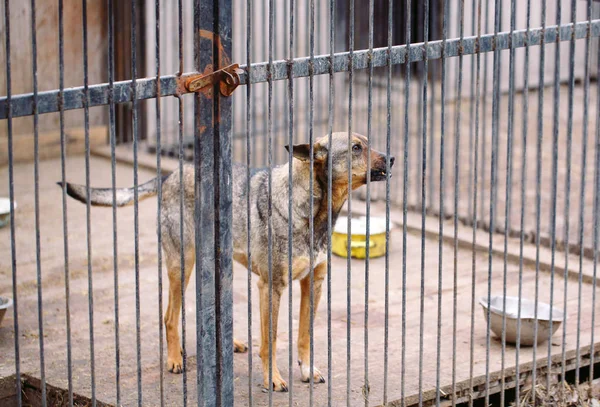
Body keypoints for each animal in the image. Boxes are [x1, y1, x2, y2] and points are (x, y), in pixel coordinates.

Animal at [61, 132, 394, 394]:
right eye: (356, 148)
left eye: (367, 143)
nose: (391, 158)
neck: (312, 208)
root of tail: (172, 174)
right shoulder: (271, 287)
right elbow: (270, 341)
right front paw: (272, 380)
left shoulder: (313, 283)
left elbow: (304, 335)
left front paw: (307, 370)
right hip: (181, 264)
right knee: (169, 315)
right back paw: (175, 358)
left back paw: (226, 343)